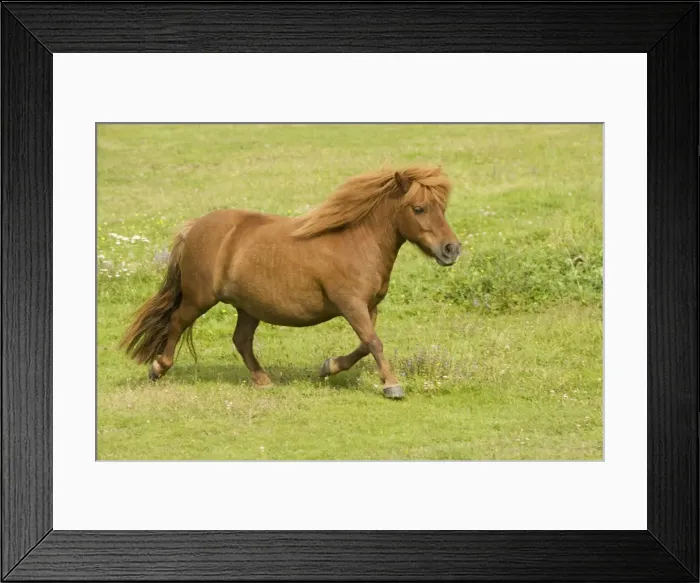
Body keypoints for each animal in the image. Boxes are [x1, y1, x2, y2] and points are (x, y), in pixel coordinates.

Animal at [119, 165, 462, 399]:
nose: (451, 249)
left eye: (443, 208)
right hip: (199, 298)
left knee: (241, 340)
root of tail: (195, 226)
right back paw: (158, 368)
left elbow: (366, 344)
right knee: (177, 322)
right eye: (419, 208)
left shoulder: (368, 307)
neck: (356, 243)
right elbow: (374, 342)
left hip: (249, 307)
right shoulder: (351, 305)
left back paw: (263, 380)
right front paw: (392, 385)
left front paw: (328, 366)